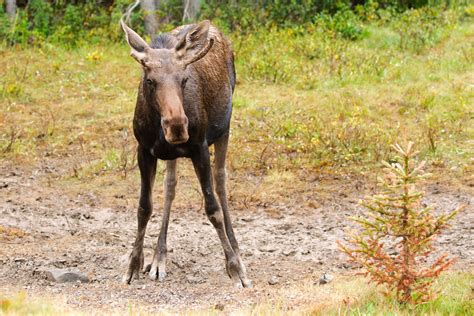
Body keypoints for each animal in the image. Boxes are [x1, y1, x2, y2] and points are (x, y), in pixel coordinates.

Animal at [120, 18, 252, 288]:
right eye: (149, 80)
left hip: (224, 129)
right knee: (170, 186)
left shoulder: (199, 147)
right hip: (172, 155)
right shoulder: (144, 150)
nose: (177, 125)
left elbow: (212, 209)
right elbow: (144, 207)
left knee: (221, 181)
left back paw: (236, 251)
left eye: (184, 79)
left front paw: (235, 268)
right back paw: (159, 258)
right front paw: (134, 264)